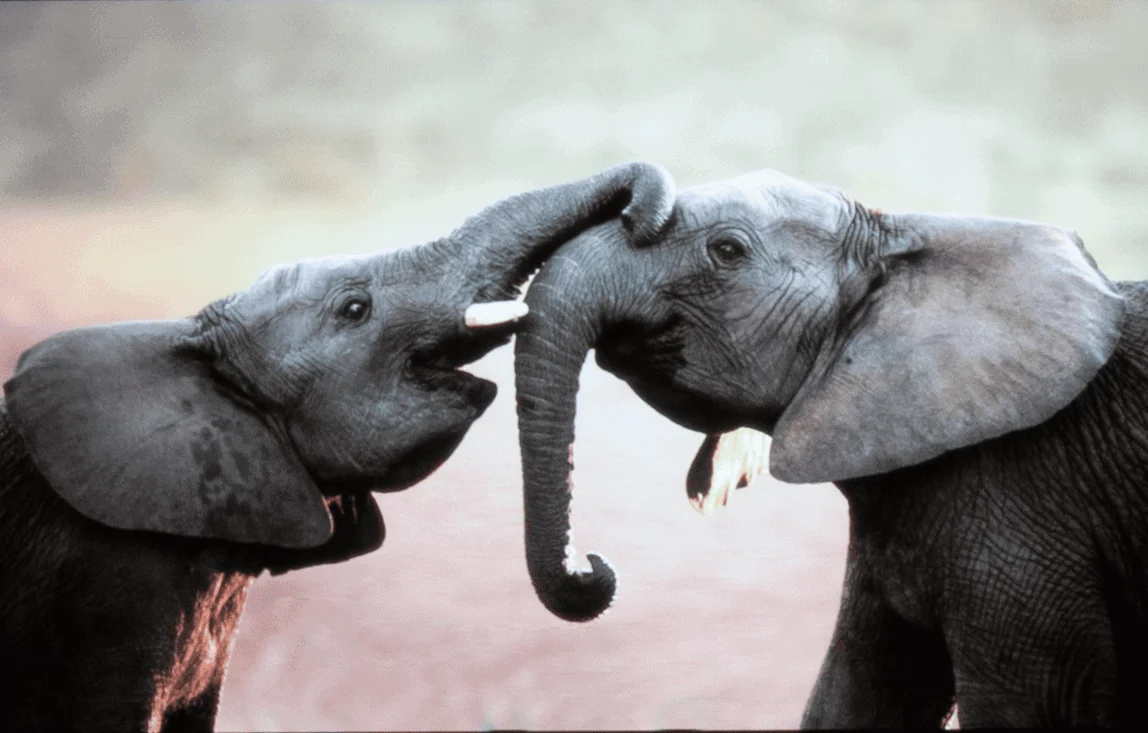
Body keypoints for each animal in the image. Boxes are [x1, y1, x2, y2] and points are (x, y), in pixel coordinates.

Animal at [514, 170, 1148, 729]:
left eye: (727, 250)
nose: (593, 567)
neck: (904, 242)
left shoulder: (1021, 505)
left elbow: (1035, 704)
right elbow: (860, 691)